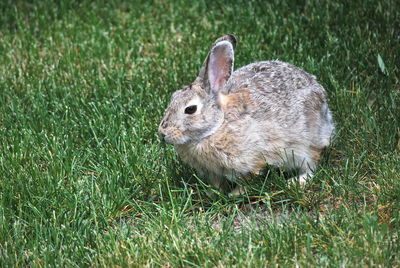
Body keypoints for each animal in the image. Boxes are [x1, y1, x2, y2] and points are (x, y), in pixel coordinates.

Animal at [159, 34, 334, 194]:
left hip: (305, 143)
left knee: (312, 161)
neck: (218, 125)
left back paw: (296, 181)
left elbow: (248, 179)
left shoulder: (253, 160)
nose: (162, 133)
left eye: (190, 109)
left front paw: (235, 194)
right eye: (173, 98)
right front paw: (213, 192)